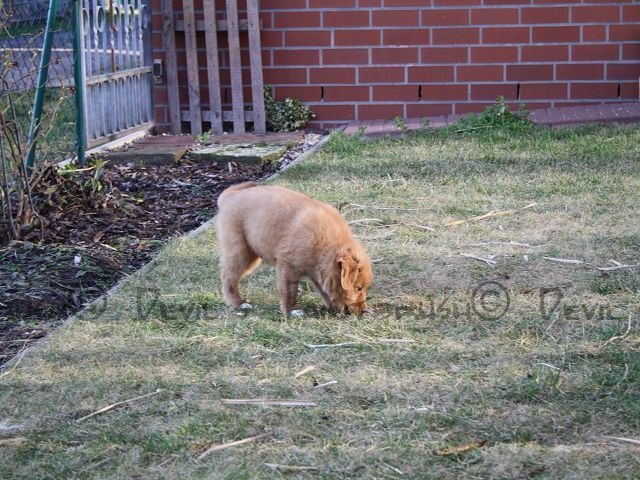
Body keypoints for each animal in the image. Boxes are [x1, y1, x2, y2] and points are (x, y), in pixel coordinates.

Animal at [216, 182, 372, 317]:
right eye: (359, 288)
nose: (364, 311)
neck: (326, 245)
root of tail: (229, 197)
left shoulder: (319, 272)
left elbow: (324, 290)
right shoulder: (288, 266)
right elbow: (289, 291)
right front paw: (292, 311)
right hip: (240, 251)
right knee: (228, 276)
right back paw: (238, 303)